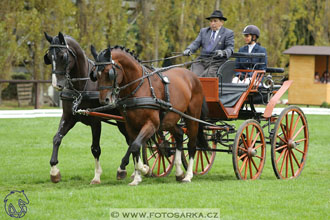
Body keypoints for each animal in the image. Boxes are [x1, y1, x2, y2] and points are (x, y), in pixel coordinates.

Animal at [43, 32, 130, 184]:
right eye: (48, 56)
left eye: (62, 56)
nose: (56, 85)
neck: (82, 87)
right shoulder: (68, 116)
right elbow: (57, 138)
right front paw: (54, 172)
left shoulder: (95, 121)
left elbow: (95, 148)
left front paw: (96, 176)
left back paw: (125, 168)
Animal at [89, 45, 209, 186]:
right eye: (95, 74)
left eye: (109, 73)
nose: (104, 100)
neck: (139, 87)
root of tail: (193, 76)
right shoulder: (131, 125)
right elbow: (134, 148)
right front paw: (136, 177)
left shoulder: (152, 124)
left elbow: (135, 145)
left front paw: (142, 170)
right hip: (169, 120)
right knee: (179, 135)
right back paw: (179, 173)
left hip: (192, 118)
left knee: (192, 144)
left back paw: (188, 175)